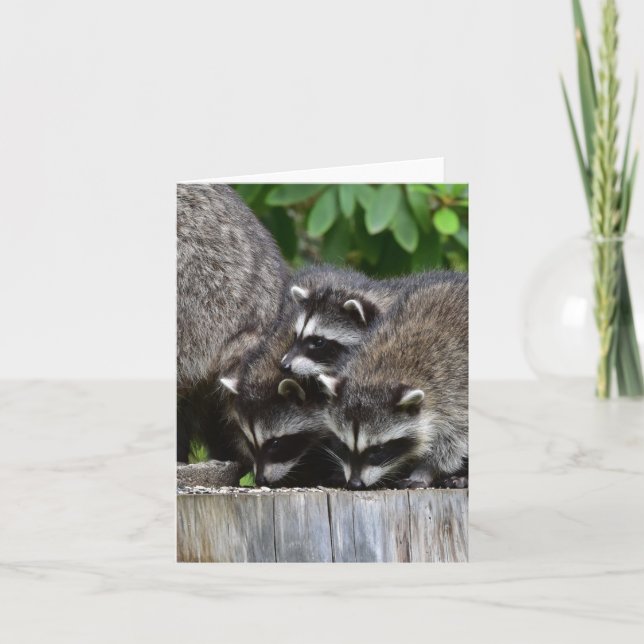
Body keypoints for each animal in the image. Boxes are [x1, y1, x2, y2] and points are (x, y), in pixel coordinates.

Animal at [317, 273, 468, 490]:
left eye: (378, 449)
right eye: (343, 445)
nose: (355, 484)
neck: (377, 374)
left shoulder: (455, 392)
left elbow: (452, 441)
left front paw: (426, 470)